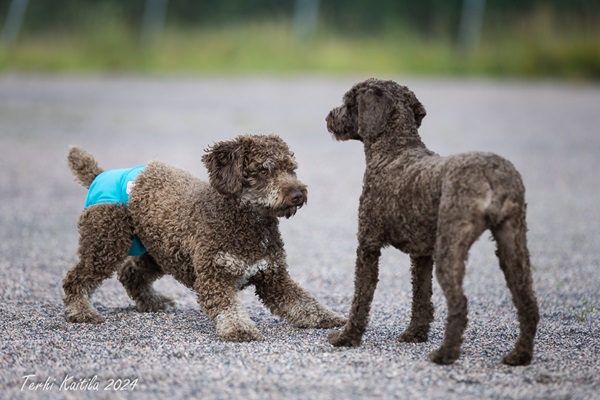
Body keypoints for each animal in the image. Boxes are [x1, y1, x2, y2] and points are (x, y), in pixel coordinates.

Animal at [326, 78, 540, 366]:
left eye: (349, 102)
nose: (329, 117)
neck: (394, 149)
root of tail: (492, 173)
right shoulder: (422, 254)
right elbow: (421, 296)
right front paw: (415, 334)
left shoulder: (367, 244)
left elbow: (361, 297)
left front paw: (346, 337)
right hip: (512, 244)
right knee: (527, 301)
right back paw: (519, 355)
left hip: (451, 244)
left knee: (460, 302)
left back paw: (445, 354)